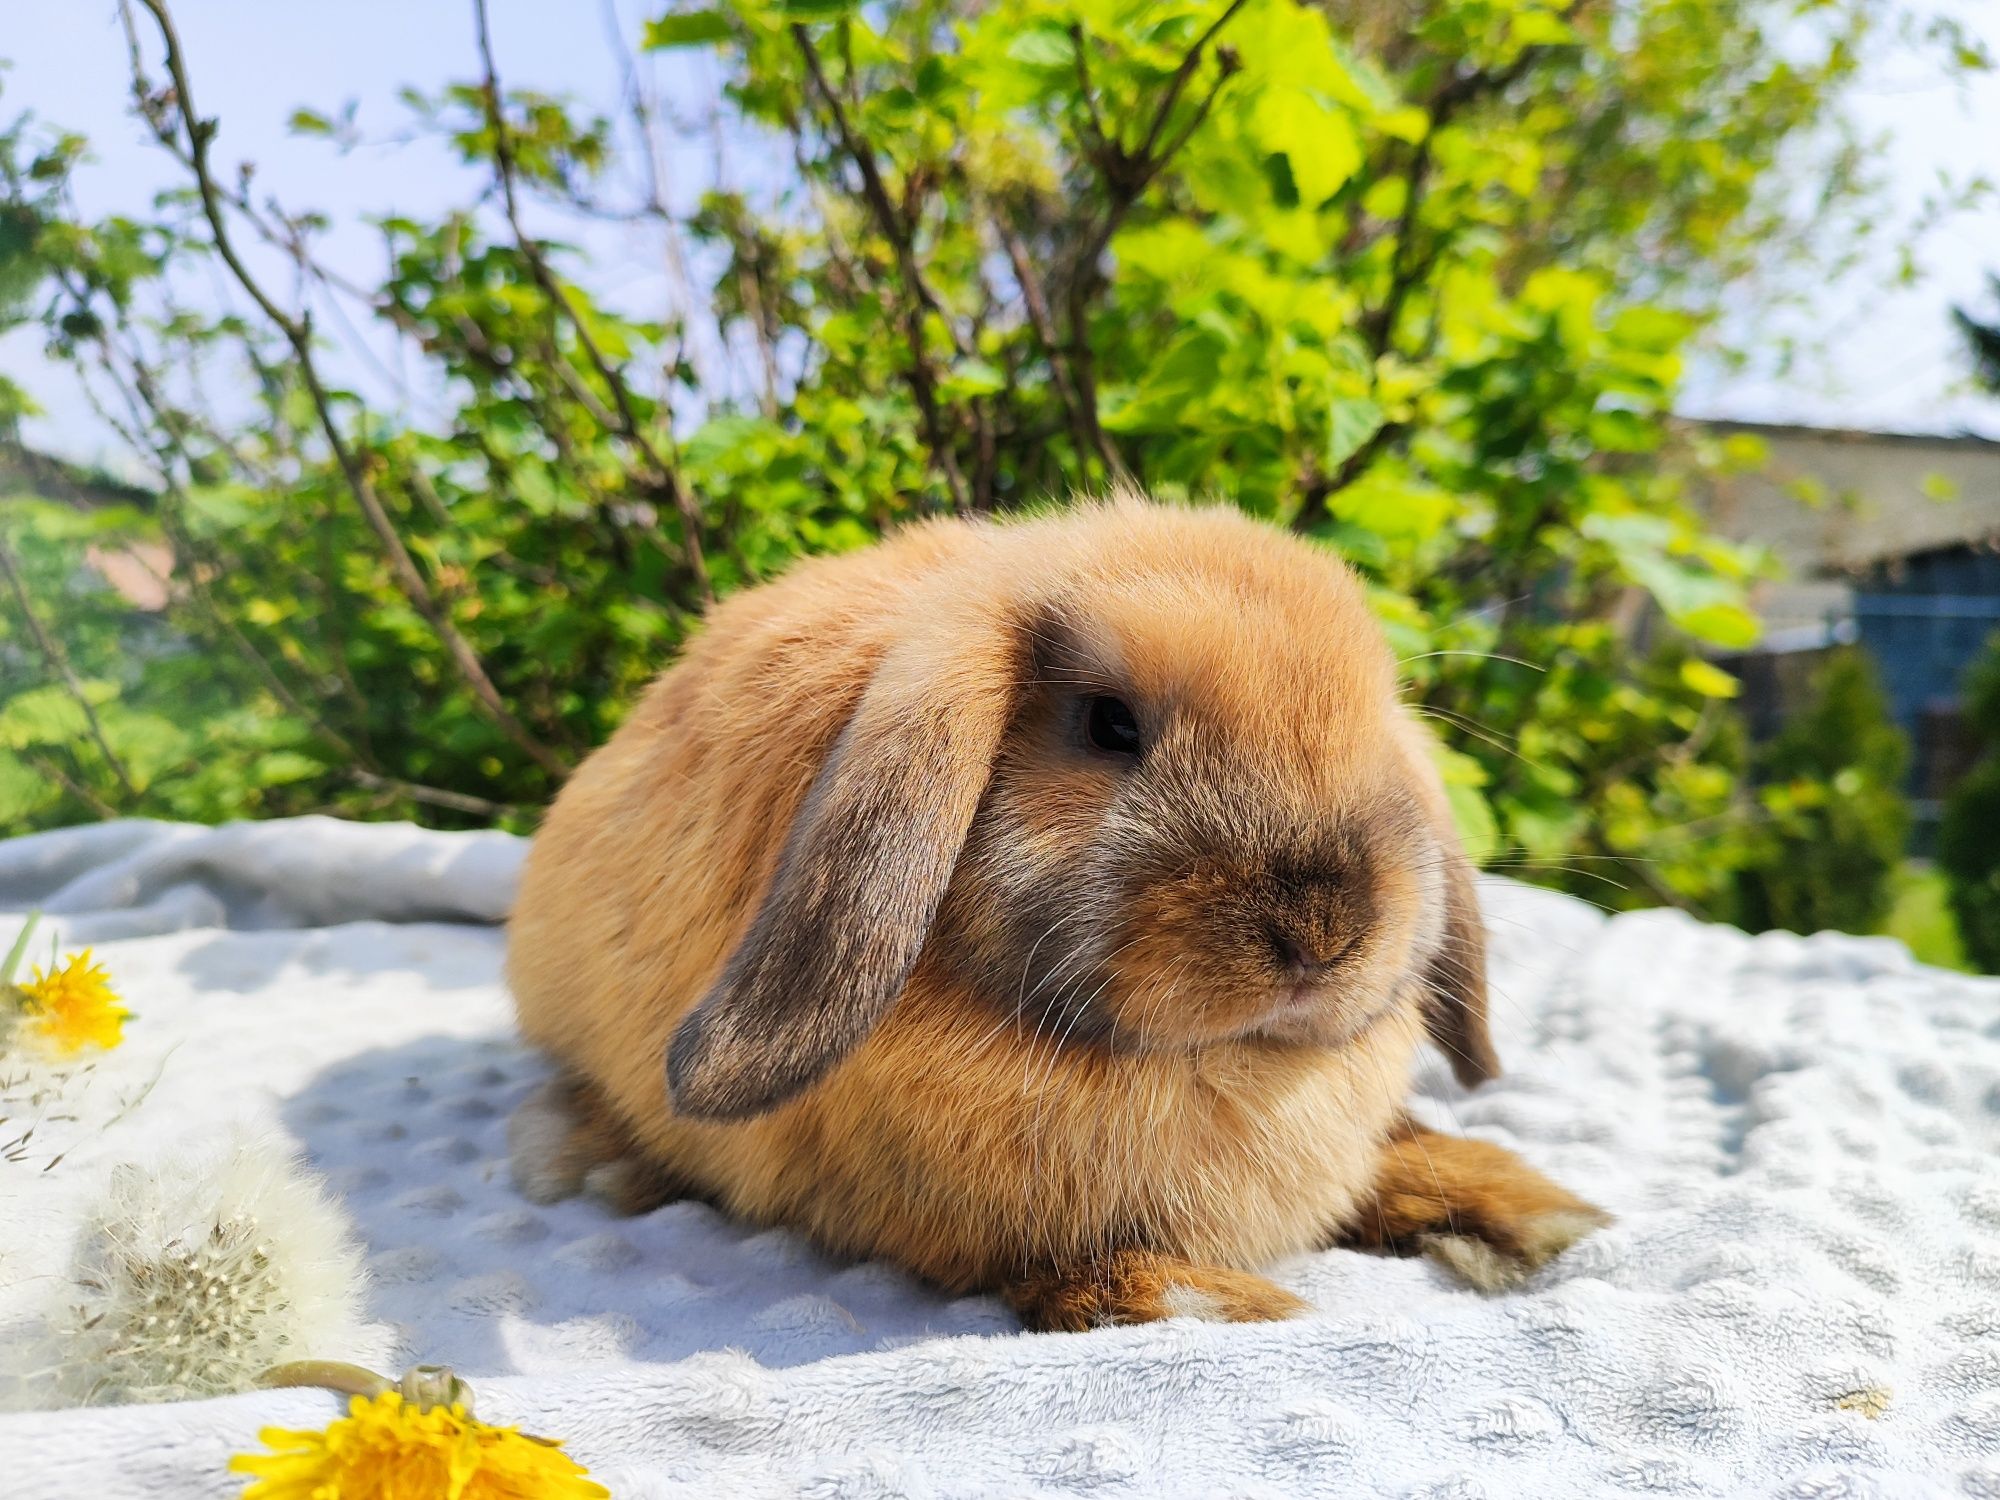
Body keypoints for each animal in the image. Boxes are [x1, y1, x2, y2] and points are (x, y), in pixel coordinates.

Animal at [508, 500, 1600, 1336]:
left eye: (1375, 723)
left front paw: (1534, 1213)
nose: (1324, 932)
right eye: (1110, 725)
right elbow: (1070, 1267)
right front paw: (1224, 1303)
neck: (1217, 1068)